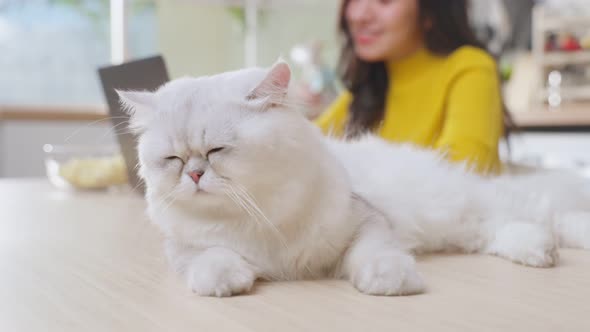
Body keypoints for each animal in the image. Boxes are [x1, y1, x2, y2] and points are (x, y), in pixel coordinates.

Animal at [119, 61, 590, 296]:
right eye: (174, 159)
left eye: (216, 151)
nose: (195, 174)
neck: (256, 218)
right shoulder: (183, 248)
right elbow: (210, 259)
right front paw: (228, 281)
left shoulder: (365, 220)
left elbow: (372, 253)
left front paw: (390, 281)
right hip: (461, 227)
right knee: (502, 230)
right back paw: (537, 251)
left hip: (468, 206)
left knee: (545, 214)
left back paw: (551, 247)